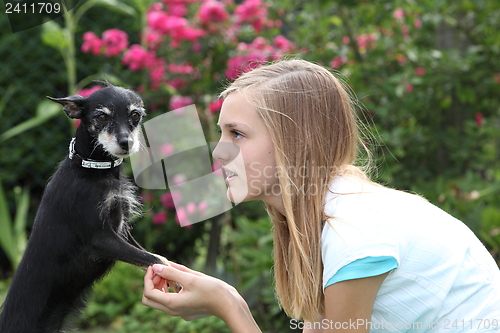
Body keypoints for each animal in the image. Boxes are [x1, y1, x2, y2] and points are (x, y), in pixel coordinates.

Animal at [0, 81, 179, 330]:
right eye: (101, 117)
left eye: (135, 115)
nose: (126, 143)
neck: (93, 170)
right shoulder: (100, 238)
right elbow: (156, 258)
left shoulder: (122, 231)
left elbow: (150, 255)